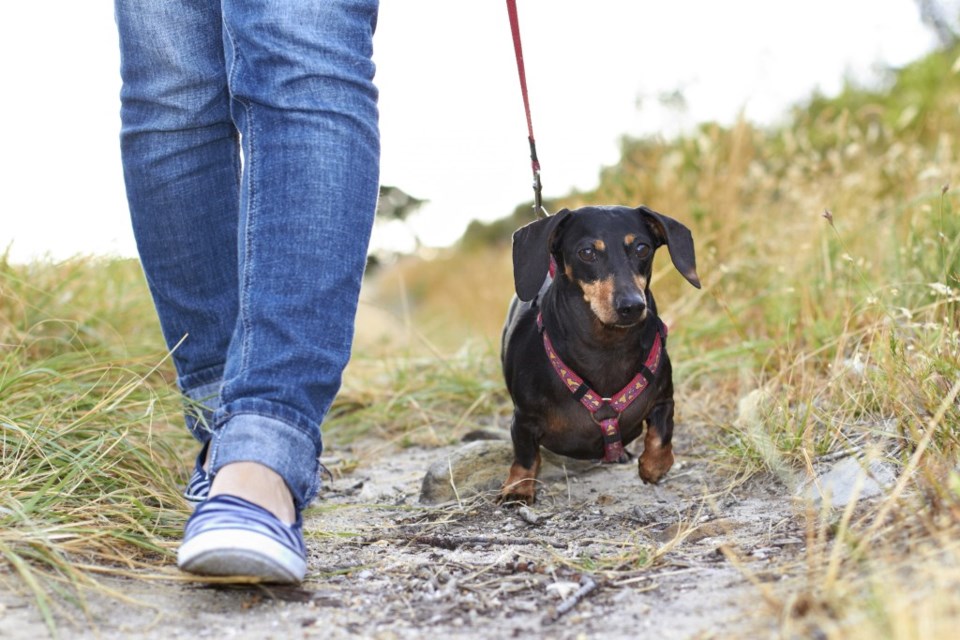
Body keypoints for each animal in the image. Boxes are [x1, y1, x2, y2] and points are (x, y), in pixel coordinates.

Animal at [502, 205, 696, 504]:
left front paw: (652, 468)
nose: (632, 306)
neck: (606, 347)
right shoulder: (523, 420)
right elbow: (525, 456)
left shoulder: (664, 399)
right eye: (587, 252)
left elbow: (661, 437)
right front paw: (518, 488)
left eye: (642, 248)